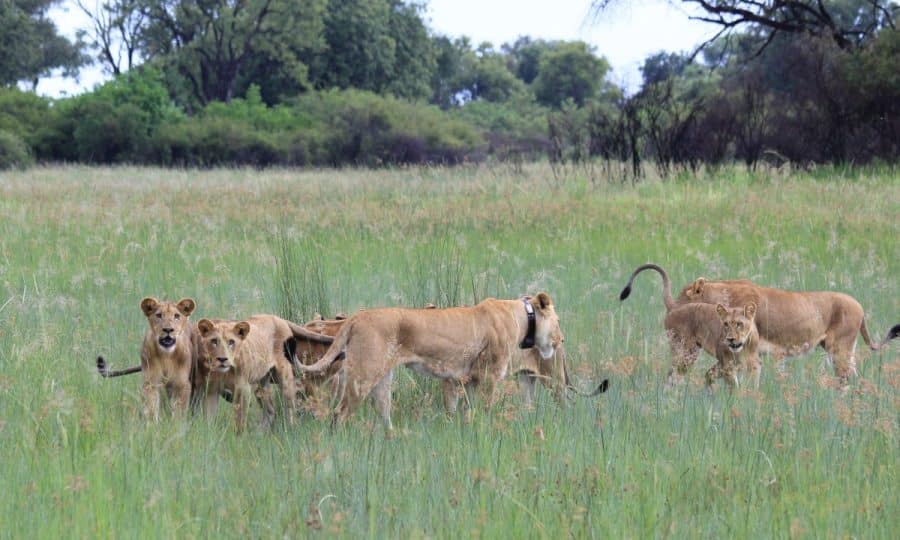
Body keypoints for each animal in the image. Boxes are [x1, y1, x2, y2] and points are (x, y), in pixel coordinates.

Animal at [292, 293, 563, 431]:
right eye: (558, 321)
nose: (562, 339)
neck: (523, 317)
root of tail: (355, 318)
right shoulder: (488, 375)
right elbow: (484, 410)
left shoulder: (467, 379)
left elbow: (466, 411)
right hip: (363, 376)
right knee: (340, 413)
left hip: (382, 378)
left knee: (383, 412)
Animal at [621, 263, 900, 386]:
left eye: (681, 299)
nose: (668, 320)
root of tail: (860, 307)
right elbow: (713, 375)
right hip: (844, 351)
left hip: (838, 350)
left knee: (846, 380)